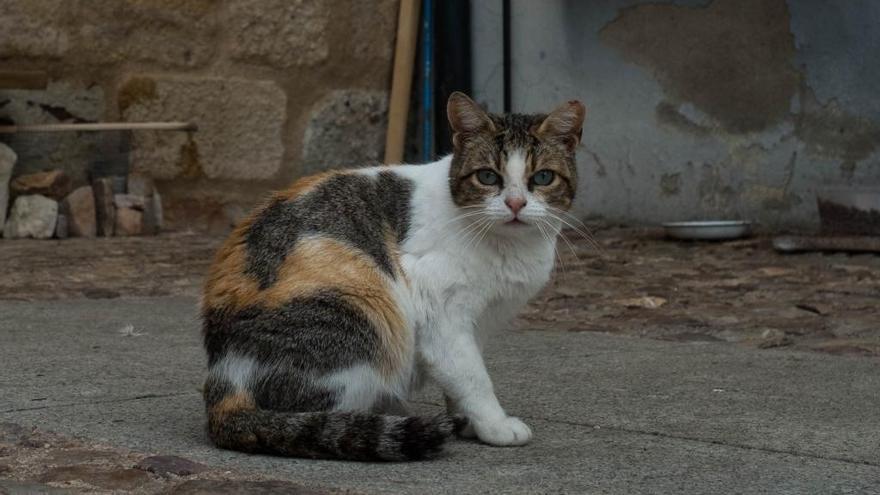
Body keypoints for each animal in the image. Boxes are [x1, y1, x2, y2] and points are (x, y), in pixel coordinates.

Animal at [199, 92, 584, 462]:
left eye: (543, 177)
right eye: (488, 176)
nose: (516, 204)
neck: (507, 247)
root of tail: (224, 378)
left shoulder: (479, 321)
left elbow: (461, 373)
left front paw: (467, 421)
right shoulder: (439, 311)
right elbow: (473, 376)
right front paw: (495, 425)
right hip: (364, 309)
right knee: (314, 419)